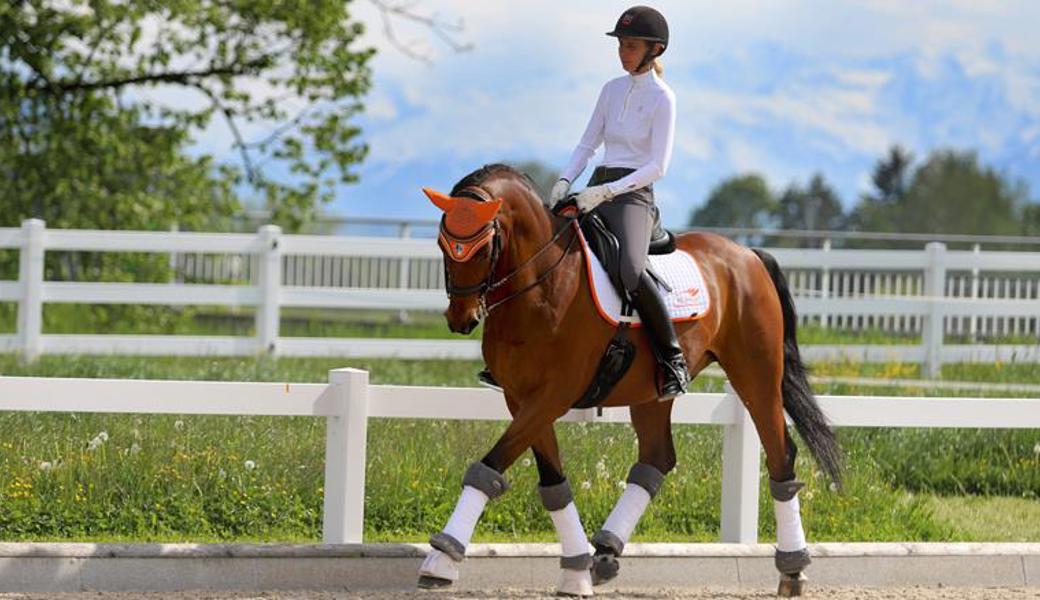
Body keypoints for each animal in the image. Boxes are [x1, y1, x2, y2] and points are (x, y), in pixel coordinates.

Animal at [411, 162, 836, 594]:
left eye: (483, 246)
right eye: (444, 242)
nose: (460, 319)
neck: (542, 285)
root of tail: (747, 254)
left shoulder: (552, 395)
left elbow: (491, 465)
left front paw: (441, 559)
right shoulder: (521, 397)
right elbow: (552, 483)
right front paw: (575, 569)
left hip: (756, 373)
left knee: (781, 453)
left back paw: (792, 568)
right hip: (651, 391)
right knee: (656, 459)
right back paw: (604, 553)